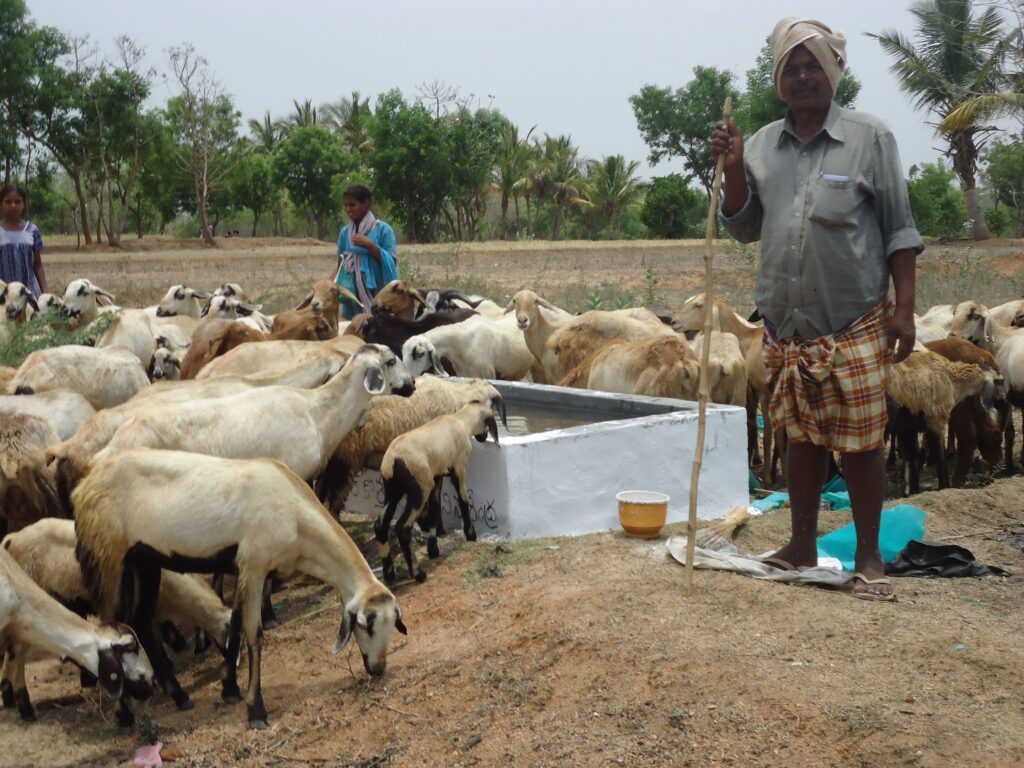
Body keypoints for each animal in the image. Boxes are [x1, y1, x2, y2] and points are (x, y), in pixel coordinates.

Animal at [74, 448, 407, 729]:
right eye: (366, 625)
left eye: (394, 623)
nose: (379, 669)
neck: (298, 522)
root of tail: (85, 485)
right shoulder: (254, 565)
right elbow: (254, 635)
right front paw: (255, 710)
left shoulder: (243, 568)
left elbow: (233, 626)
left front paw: (230, 689)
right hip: (109, 560)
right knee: (107, 629)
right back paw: (124, 714)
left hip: (145, 562)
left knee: (142, 623)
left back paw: (179, 696)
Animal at [313, 376, 501, 514]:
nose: (484, 437)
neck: (456, 399)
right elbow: (436, 495)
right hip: (345, 460)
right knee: (333, 502)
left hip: (331, 461)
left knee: (320, 493)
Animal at [378, 403, 501, 581]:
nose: (483, 437)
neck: (460, 421)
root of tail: (392, 461)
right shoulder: (459, 469)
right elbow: (463, 500)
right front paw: (471, 535)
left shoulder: (437, 476)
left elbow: (434, 510)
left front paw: (433, 549)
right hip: (420, 489)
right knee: (402, 527)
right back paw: (418, 574)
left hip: (393, 491)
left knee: (380, 525)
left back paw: (389, 574)